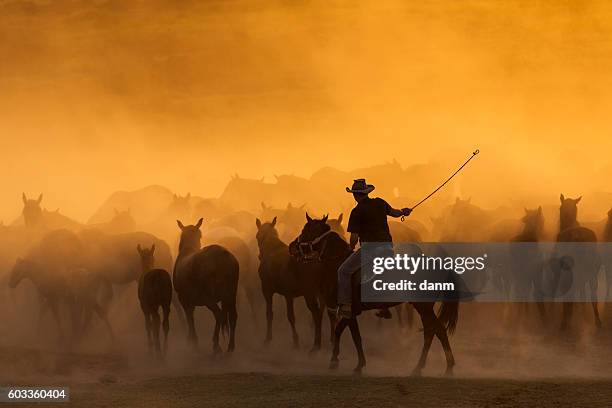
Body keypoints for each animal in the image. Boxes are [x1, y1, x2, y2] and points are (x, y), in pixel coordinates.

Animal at [175, 218, 239, 352]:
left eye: (200, 235)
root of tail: (224, 256)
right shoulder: (190, 300)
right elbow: (190, 316)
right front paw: (192, 339)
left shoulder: (183, 299)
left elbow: (189, 317)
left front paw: (192, 340)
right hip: (231, 294)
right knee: (232, 316)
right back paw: (230, 346)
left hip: (209, 297)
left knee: (218, 314)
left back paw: (216, 345)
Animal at [256, 217, 328, 350]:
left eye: (257, 236)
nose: (259, 256)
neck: (271, 250)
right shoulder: (286, 294)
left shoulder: (272, 291)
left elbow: (276, 315)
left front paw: (293, 340)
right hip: (320, 293)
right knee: (323, 313)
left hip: (309, 294)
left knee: (316, 314)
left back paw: (316, 344)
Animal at [292, 217, 460, 376]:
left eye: (306, 229)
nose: (292, 247)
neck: (337, 264)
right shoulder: (351, 313)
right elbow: (352, 335)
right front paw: (355, 363)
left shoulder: (348, 310)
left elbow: (345, 333)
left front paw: (339, 362)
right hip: (424, 307)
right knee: (434, 331)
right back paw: (434, 367)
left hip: (423, 307)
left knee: (435, 330)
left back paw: (430, 367)